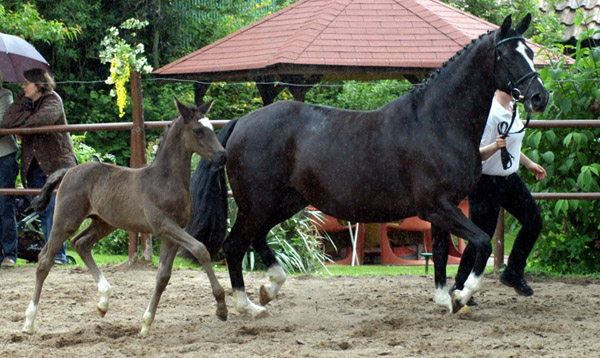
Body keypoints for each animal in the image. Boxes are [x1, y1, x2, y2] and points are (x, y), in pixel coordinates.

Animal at [23, 98, 227, 336]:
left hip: (104, 223)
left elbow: (163, 276)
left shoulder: (173, 233)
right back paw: (29, 322)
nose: (222, 156)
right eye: (198, 131)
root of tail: (68, 171)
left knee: (80, 243)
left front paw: (146, 324)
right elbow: (200, 249)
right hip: (66, 220)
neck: (165, 180)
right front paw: (221, 308)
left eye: (211, 128)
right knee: (45, 259)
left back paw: (103, 301)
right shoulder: (163, 226)